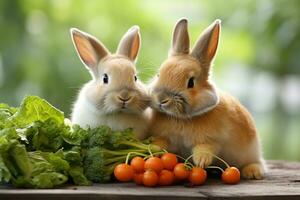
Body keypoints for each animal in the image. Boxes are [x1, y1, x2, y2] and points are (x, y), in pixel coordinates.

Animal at [149, 18, 266, 179]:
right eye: (158, 74)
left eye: (191, 82)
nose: (162, 99)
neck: (181, 118)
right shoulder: (164, 137)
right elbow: (160, 143)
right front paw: (151, 149)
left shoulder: (213, 141)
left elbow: (205, 148)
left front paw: (201, 162)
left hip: (251, 151)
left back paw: (253, 172)